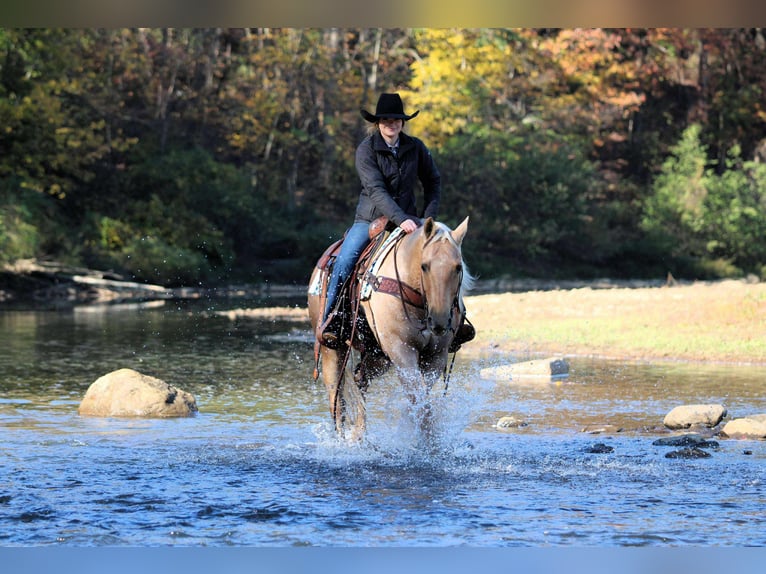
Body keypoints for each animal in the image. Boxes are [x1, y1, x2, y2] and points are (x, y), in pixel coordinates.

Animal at [307, 216, 473, 443]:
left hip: (377, 356)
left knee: (360, 382)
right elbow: (418, 397)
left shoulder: (435, 357)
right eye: (424, 266)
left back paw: (360, 436)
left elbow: (423, 399)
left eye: (457, 267)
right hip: (332, 349)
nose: (439, 321)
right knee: (337, 399)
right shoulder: (401, 350)